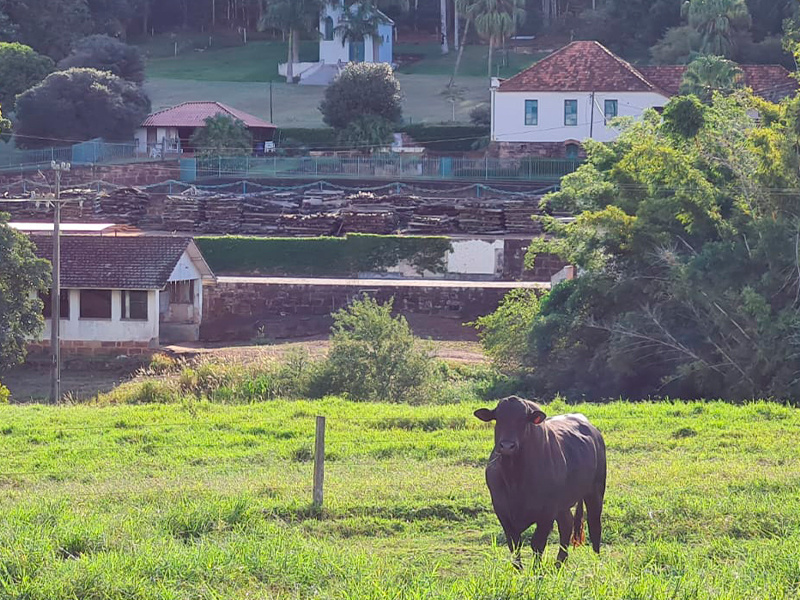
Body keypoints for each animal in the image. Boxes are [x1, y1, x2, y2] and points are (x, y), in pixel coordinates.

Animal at [476, 396, 608, 564]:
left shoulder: (547, 512)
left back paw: (596, 561)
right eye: (498, 418)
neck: (515, 478)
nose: (507, 446)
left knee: (594, 525)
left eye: (523, 420)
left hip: (596, 491)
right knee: (567, 524)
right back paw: (560, 562)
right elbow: (514, 545)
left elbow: (537, 544)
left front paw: (536, 569)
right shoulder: (502, 511)